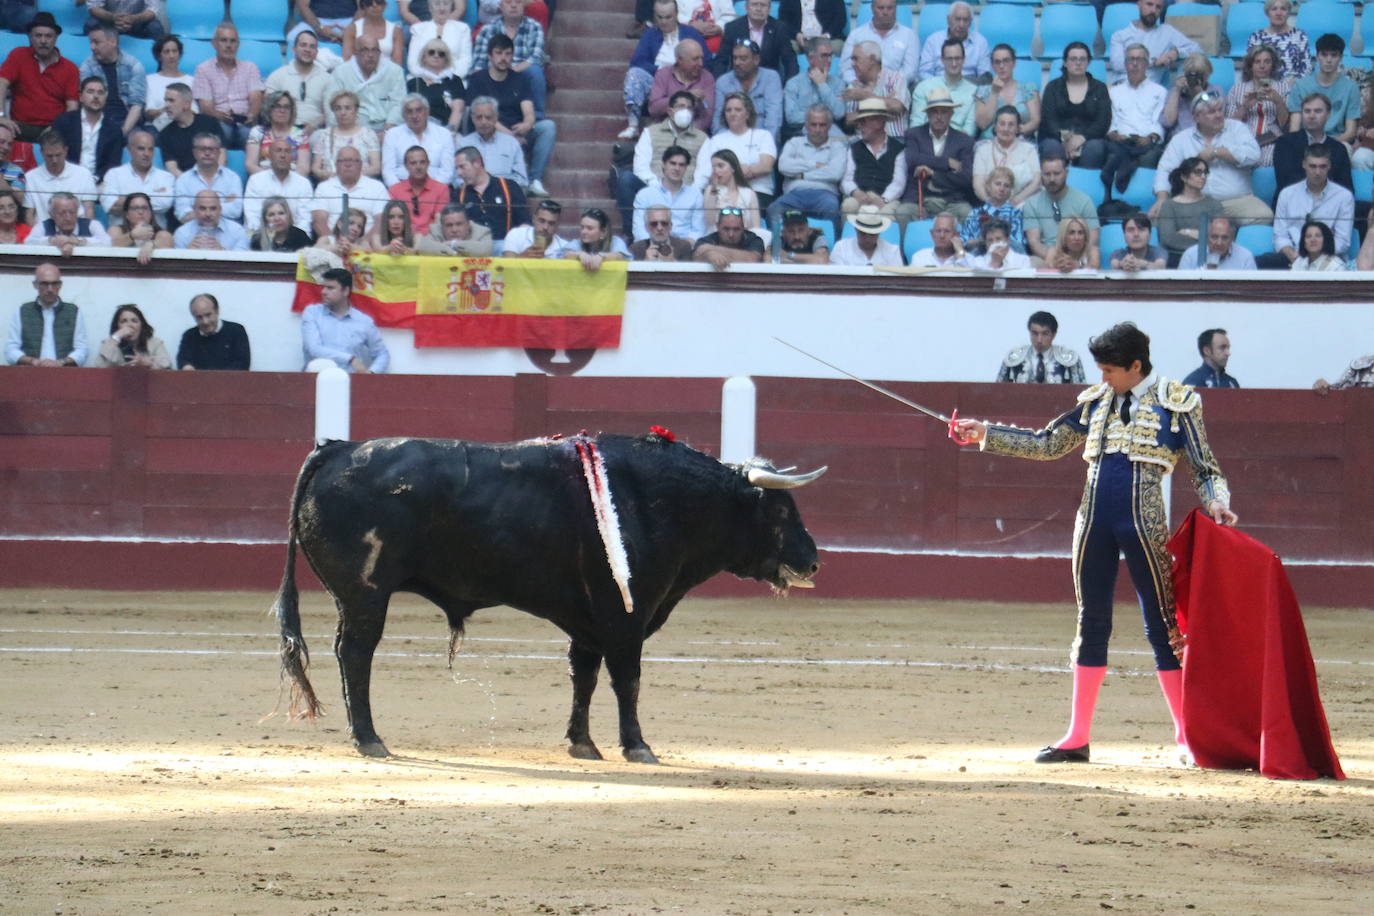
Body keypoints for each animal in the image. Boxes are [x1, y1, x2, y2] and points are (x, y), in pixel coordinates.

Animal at [273, 433, 818, 763]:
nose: (813, 561)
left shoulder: (590, 624)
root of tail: (338, 448)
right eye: (779, 511)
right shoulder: (626, 619)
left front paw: (583, 744)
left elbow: (585, 678)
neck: (659, 500)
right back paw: (369, 739)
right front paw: (637, 746)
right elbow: (627, 681)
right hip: (365, 594)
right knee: (355, 653)